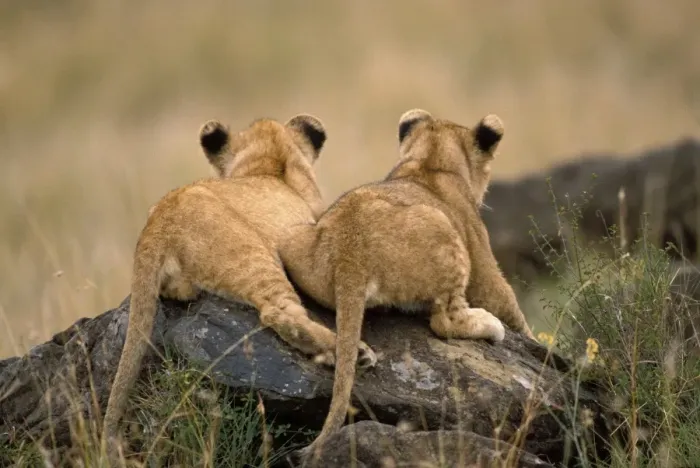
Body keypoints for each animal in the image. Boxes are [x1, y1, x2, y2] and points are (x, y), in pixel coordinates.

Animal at [278, 109, 536, 464]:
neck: (429, 160)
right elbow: (508, 305)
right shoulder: (482, 263)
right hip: (441, 225)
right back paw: (489, 325)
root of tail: (349, 253)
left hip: (293, 235)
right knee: (444, 321)